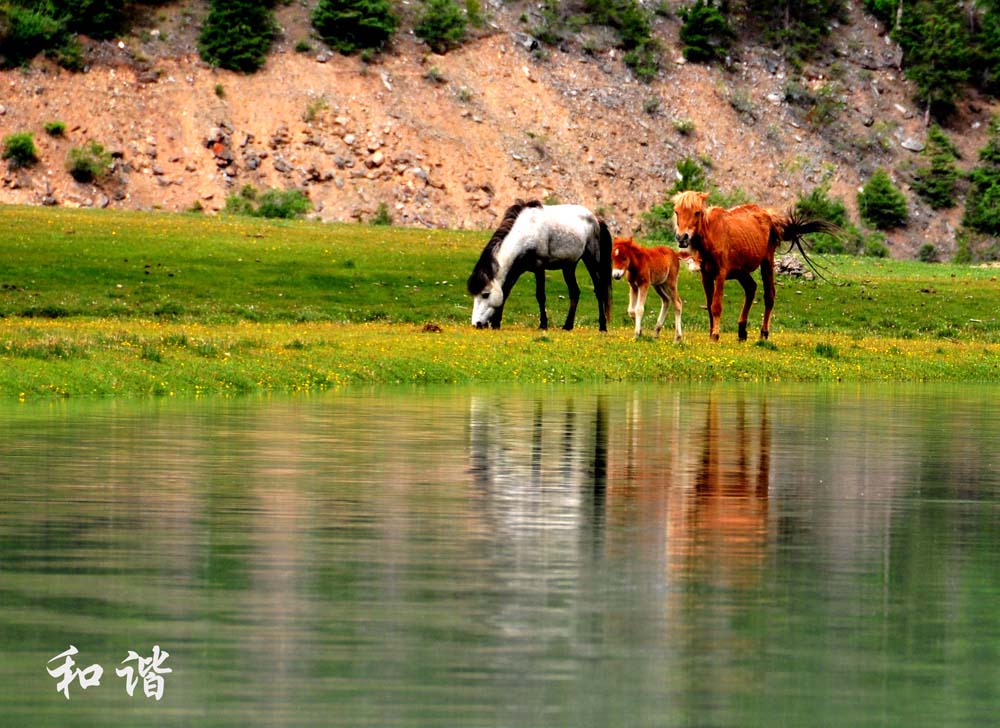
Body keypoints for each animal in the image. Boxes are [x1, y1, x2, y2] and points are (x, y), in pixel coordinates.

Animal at [470, 199, 616, 330]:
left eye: (485, 294)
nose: (476, 324)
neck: (528, 232)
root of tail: (596, 219)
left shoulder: (539, 268)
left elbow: (540, 296)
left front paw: (543, 325)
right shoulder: (516, 269)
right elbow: (505, 293)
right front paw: (496, 323)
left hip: (592, 261)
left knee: (599, 291)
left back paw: (602, 326)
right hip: (569, 266)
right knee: (575, 292)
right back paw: (567, 326)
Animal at [672, 192, 836, 342]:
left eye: (697, 212)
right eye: (676, 211)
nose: (682, 238)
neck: (712, 236)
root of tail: (769, 216)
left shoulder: (721, 274)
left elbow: (716, 306)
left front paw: (715, 335)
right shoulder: (706, 275)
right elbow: (709, 305)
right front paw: (711, 332)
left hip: (767, 262)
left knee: (769, 296)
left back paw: (764, 333)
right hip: (741, 271)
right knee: (751, 288)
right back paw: (741, 332)